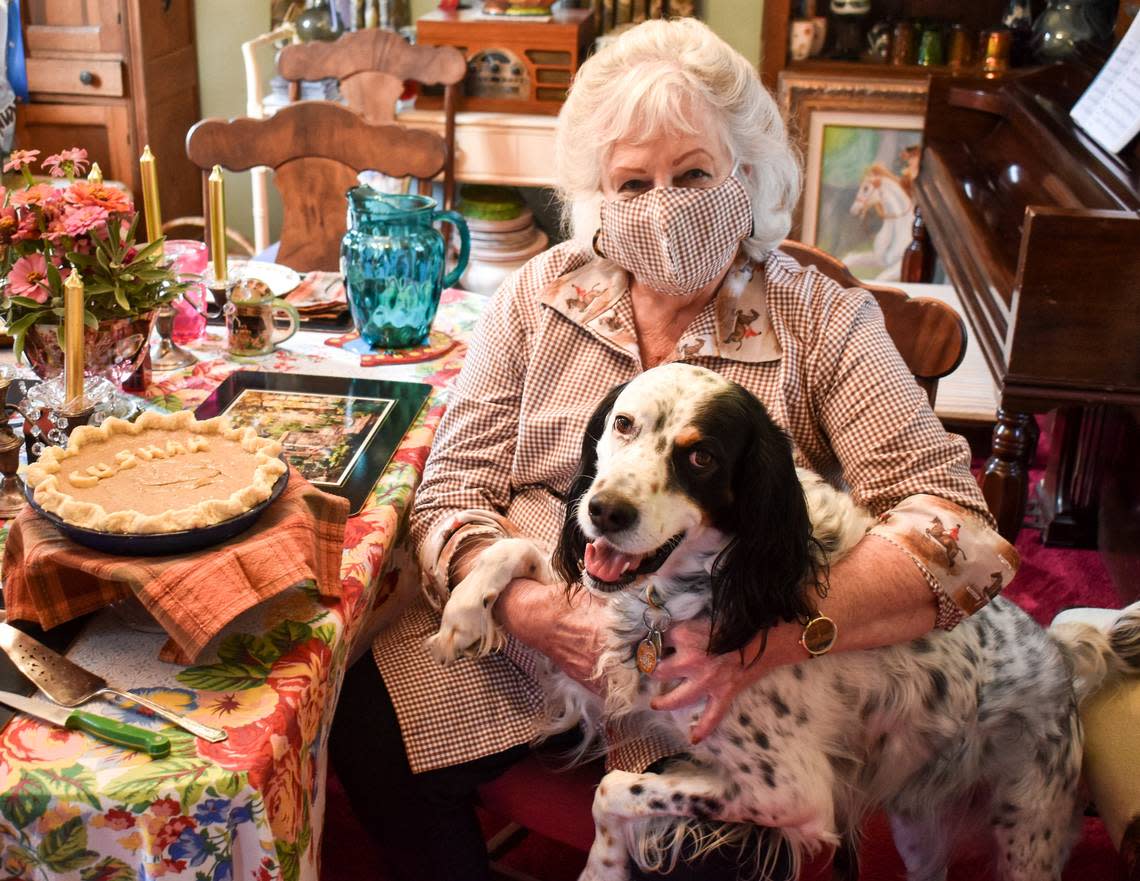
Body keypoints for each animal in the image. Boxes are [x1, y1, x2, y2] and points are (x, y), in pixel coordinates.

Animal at [428, 360, 1140, 875]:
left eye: (702, 458)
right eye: (623, 424)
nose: (605, 511)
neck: (722, 581)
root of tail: (1056, 648)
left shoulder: (789, 794)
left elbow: (614, 790)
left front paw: (602, 866)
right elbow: (517, 550)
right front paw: (464, 611)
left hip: (1026, 831)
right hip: (916, 820)